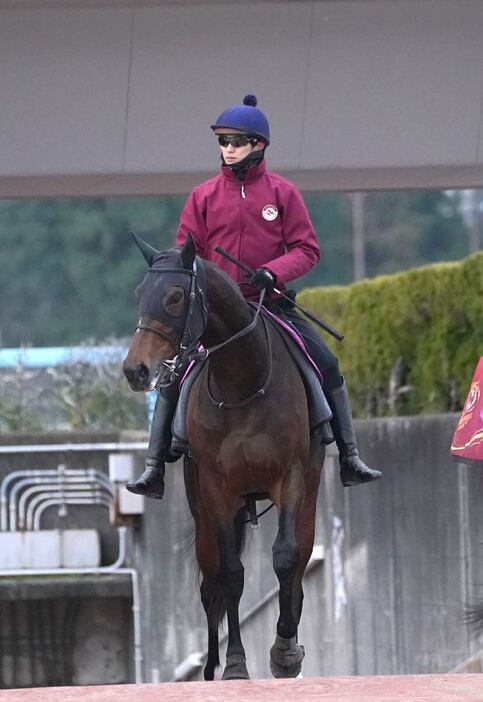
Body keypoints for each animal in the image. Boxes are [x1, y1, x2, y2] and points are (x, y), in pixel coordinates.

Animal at [123, 235, 328, 680]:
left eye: (175, 296)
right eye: (139, 294)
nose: (135, 370)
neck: (242, 382)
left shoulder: (291, 478)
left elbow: (286, 559)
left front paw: (284, 650)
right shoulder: (217, 490)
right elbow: (231, 575)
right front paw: (234, 662)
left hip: (306, 498)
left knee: (299, 563)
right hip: (206, 515)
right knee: (210, 583)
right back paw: (211, 665)